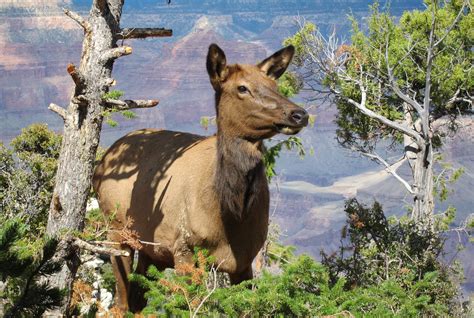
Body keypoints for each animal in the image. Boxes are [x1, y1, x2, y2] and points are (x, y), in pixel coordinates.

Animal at [93, 43, 310, 312]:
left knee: (138, 298)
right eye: (242, 88)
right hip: (116, 231)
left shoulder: (245, 261)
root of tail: (102, 161)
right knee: (121, 302)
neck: (230, 214)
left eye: (274, 86)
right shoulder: (184, 247)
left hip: (151, 250)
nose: (299, 114)